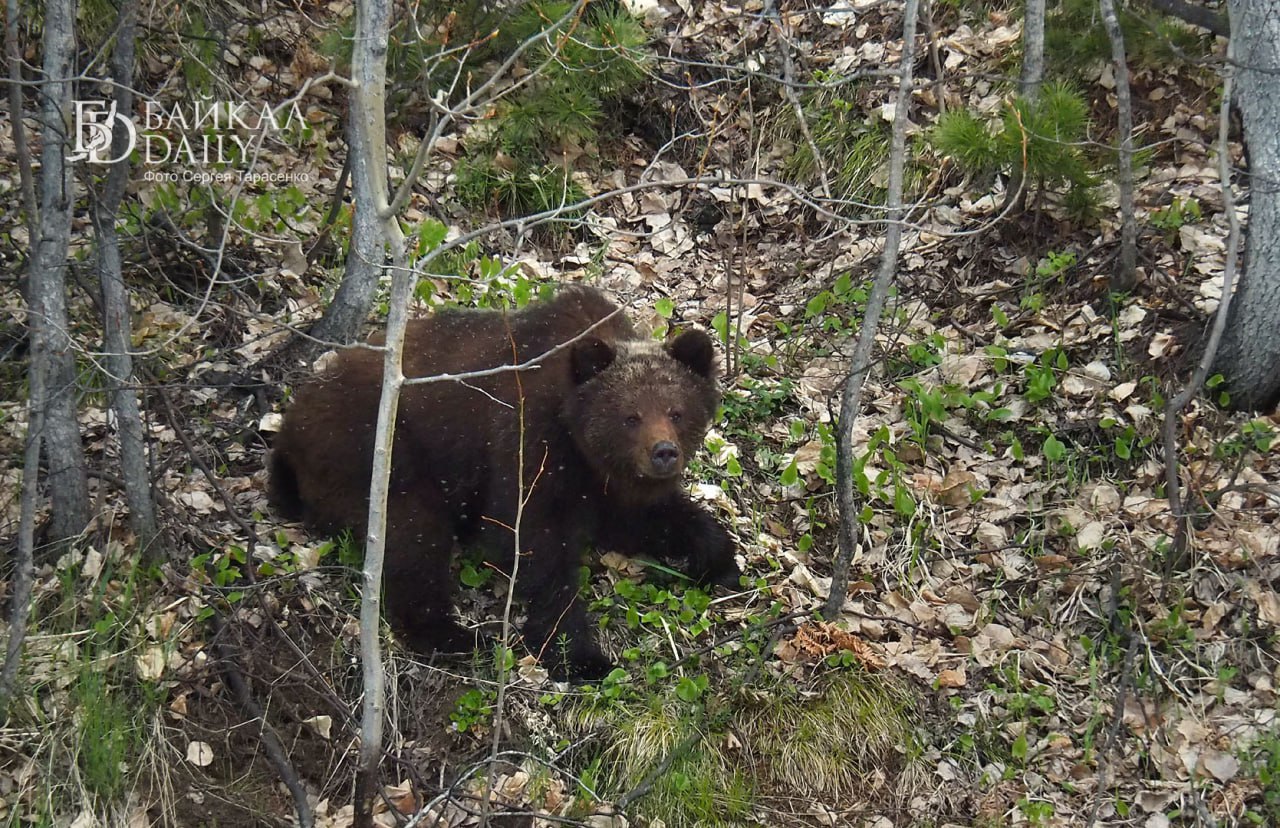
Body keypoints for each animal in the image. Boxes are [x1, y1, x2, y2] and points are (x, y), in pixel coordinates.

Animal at [270, 285, 742, 680]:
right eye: (631, 416)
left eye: (676, 411)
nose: (664, 452)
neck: (577, 438)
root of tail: (291, 425)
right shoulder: (527, 444)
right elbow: (532, 543)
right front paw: (582, 655)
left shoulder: (605, 483)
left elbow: (648, 518)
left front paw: (718, 561)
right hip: (373, 452)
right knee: (413, 536)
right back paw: (456, 635)